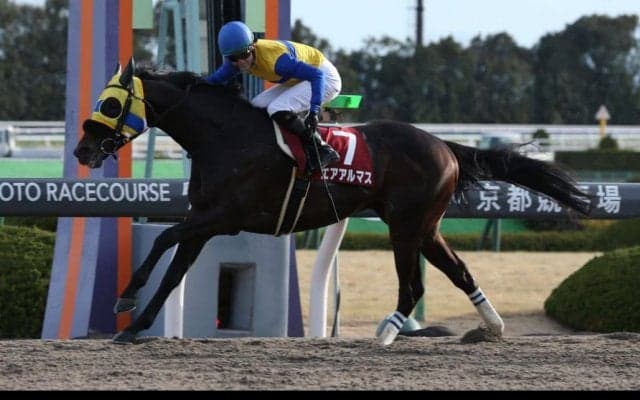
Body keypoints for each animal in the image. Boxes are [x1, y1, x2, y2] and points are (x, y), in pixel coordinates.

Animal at [74, 59, 591, 344]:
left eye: (111, 104)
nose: (82, 151)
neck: (224, 138)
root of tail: (445, 146)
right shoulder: (204, 220)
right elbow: (172, 269)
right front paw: (133, 324)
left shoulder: (224, 217)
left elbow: (164, 242)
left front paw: (126, 298)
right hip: (425, 227)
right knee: (458, 271)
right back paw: (493, 327)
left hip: (406, 226)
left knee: (413, 287)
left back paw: (386, 333)